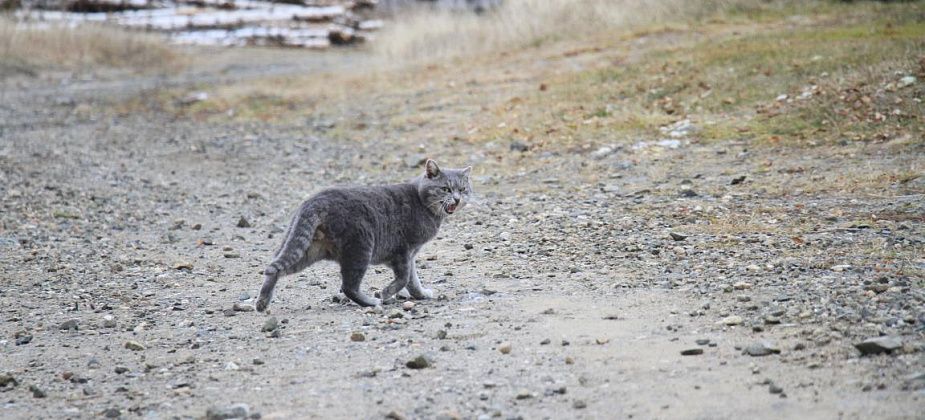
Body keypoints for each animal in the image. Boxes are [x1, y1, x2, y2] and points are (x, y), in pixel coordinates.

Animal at [254, 159, 470, 310]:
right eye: (445, 189)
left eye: (463, 189)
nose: (457, 199)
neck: (421, 201)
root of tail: (314, 201)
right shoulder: (403, 251)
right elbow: (404, 277)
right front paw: (385, 293)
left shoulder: (411, 254)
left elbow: (412, 280)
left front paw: (421, 294)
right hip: (360, 247)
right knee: (348, 286)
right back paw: (371, 302)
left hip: (307, 251)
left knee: (274, 268)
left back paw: (262, 302)